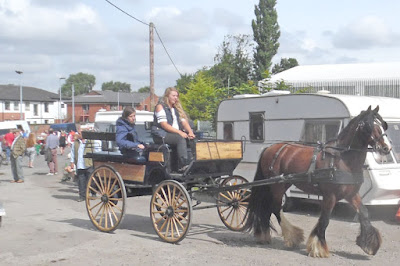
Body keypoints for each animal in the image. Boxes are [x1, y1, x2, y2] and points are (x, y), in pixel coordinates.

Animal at [245, 106, 392, 258]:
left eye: (383, 125)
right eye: (369, 125)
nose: (386, 148)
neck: (342, 159)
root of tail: (269, 148)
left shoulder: (351, 194)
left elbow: (364, 213)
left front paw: (369, 244)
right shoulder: (330, 196)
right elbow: (325, 219)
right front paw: (318, 247)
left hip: (280, 184)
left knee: (267, 207)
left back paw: (264, 235)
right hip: (276, 185)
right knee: (275, 207)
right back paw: (291, 236)